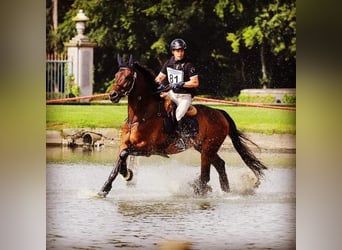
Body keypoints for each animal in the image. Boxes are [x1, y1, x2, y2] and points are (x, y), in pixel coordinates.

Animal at [97, 54, 266, 197]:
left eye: (127, 77)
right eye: (116, 76)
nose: (112, 95)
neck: (139, 117)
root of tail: (219, 112)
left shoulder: (148, 149)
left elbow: (124, 155)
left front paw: (127, 174)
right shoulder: (124, 144)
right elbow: (119, 160)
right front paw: (105, 188)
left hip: (208, 147)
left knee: (206, 175)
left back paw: (197, 189)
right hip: (202, 146)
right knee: (220, 164)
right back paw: (226, 191)